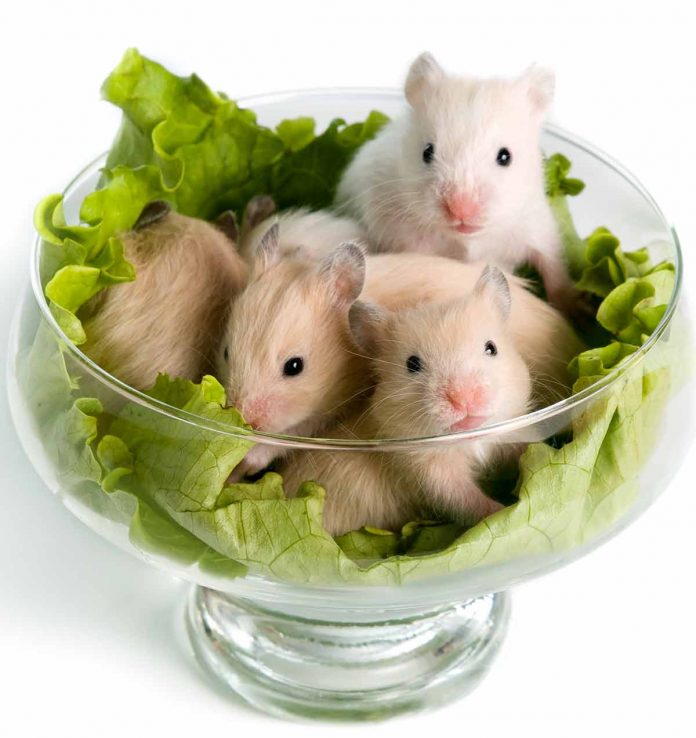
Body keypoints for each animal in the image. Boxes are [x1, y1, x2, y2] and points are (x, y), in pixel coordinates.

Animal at [281, 266, 531, 536]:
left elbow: (521, 449)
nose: (463, 400)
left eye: (491, 348)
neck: (471, 440)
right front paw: (502, 511)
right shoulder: (430, 472)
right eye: (412, 364)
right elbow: (465, 499)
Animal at [335, 52, 578, 314]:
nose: (461, 210)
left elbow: (555, 270)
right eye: (427, 152)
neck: (467, 239)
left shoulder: (538, 227)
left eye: (505, 156)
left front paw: (576, 309)